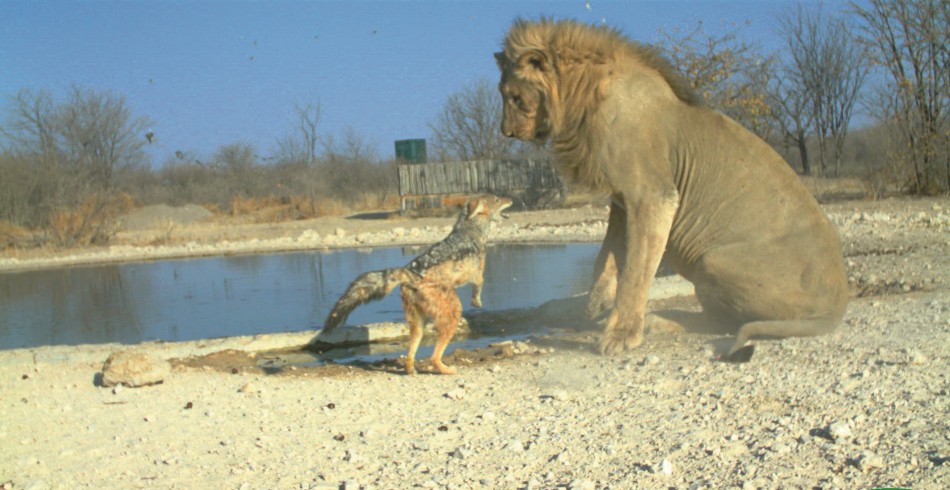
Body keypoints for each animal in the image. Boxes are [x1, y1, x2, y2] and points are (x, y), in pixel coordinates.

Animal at [494, 19, 852, 360]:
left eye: (514, 97)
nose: (506, 132)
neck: (580, 99)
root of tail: (838, 302)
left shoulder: (652, 195)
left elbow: (635, 272)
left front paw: (620, 335)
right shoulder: (622, 201)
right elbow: (605, 260)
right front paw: (592, 308)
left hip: (712, 260)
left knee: (721, 321)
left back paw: (657, 321)